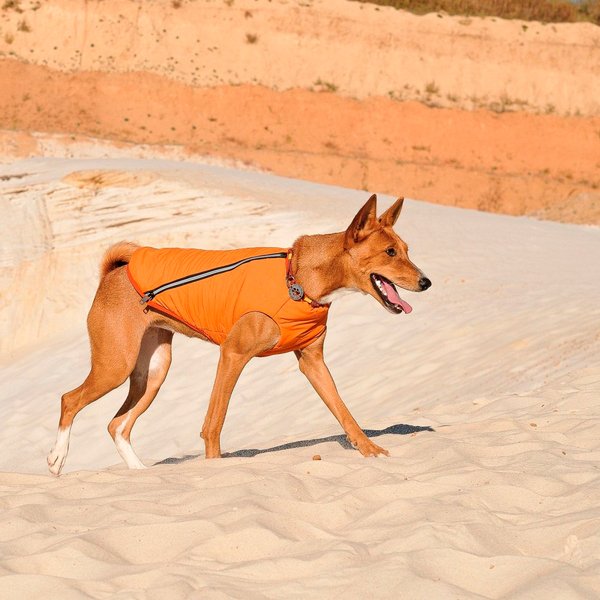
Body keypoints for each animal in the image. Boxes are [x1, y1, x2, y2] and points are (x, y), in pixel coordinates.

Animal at [47, 194, 431, 475]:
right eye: (390, 253)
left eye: (407, 251)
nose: (426, 282)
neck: (298, 280)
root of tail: (113, 272)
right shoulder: (233, 354)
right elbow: (214, 423)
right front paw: (216, 468)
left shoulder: (312, 362)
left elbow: (344, 412)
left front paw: (371, 451)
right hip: (116, 365)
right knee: (70, 400)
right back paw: (57, 458)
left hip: (152, 371)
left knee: (117, 425)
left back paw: (140, 472)